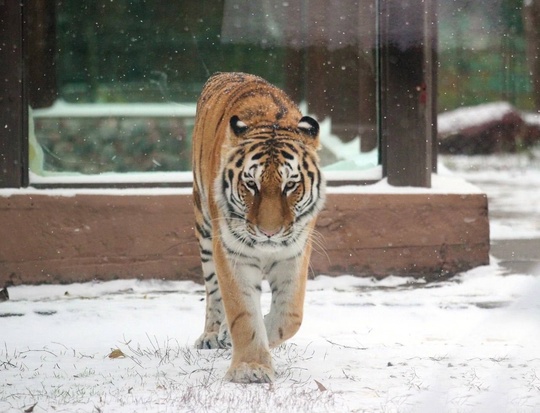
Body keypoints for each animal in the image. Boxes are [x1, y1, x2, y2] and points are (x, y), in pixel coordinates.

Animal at [190, 71, 324, 384]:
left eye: (291, 185)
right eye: (251, 184)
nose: (269, 232)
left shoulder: (294, 253)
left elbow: (290, 316)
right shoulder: (231, 253)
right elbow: (243, 314)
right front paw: (250, 368)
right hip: (204, 228)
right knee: (213, 290)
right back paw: (212, 335)